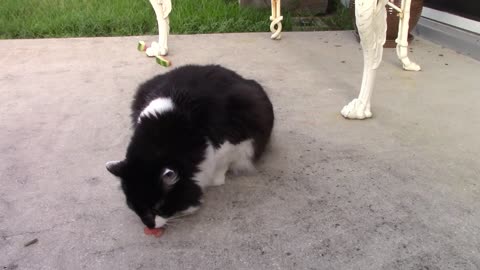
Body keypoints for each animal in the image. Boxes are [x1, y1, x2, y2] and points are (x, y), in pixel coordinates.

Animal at [107, 64, 276, 229]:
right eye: (132, 206)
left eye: (157, 207)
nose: (149, 226)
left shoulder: (231, 142)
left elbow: (221, 165)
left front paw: (215, 179)